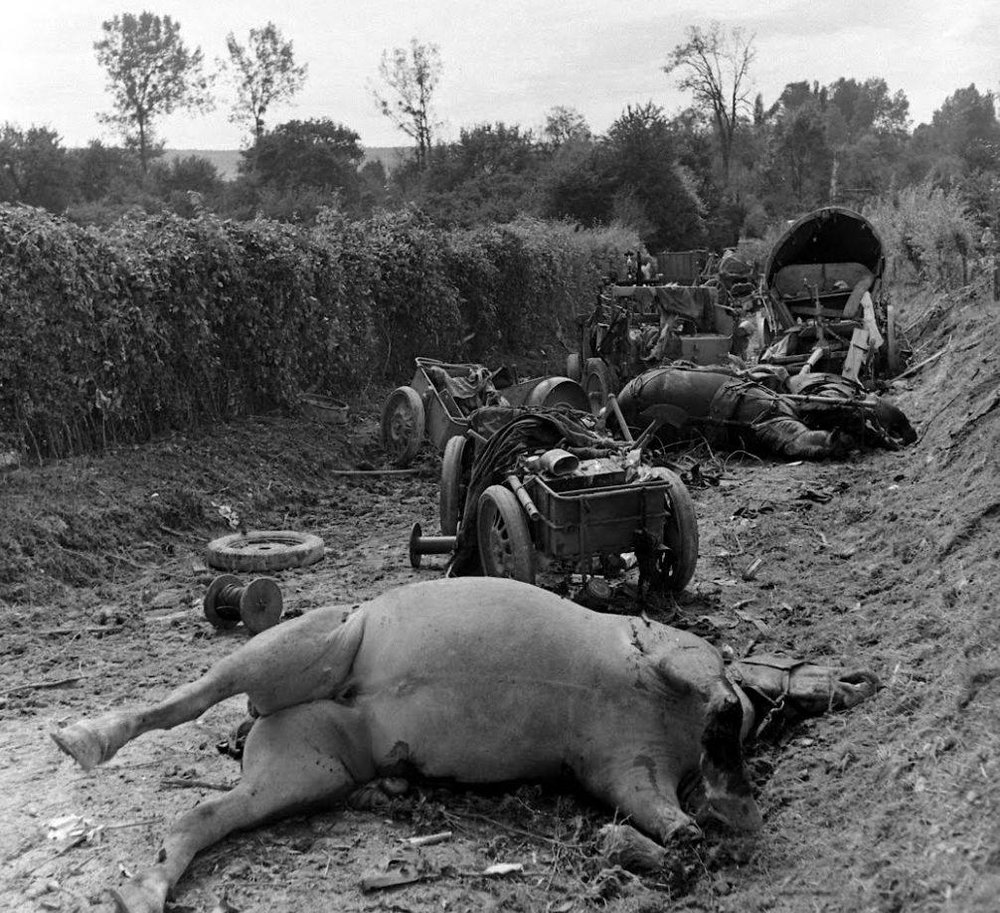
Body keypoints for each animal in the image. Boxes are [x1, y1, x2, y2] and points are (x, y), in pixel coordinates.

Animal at [52, 576, 756, 912]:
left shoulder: (627, 768)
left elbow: (662, 810)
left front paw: (706, 820)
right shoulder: (662, 651)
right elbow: (702, 678)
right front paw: (726, 743)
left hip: (302, 776)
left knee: (201, 817)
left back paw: (142, 891)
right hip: (300, 648)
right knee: (190, 700)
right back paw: (83, 739)